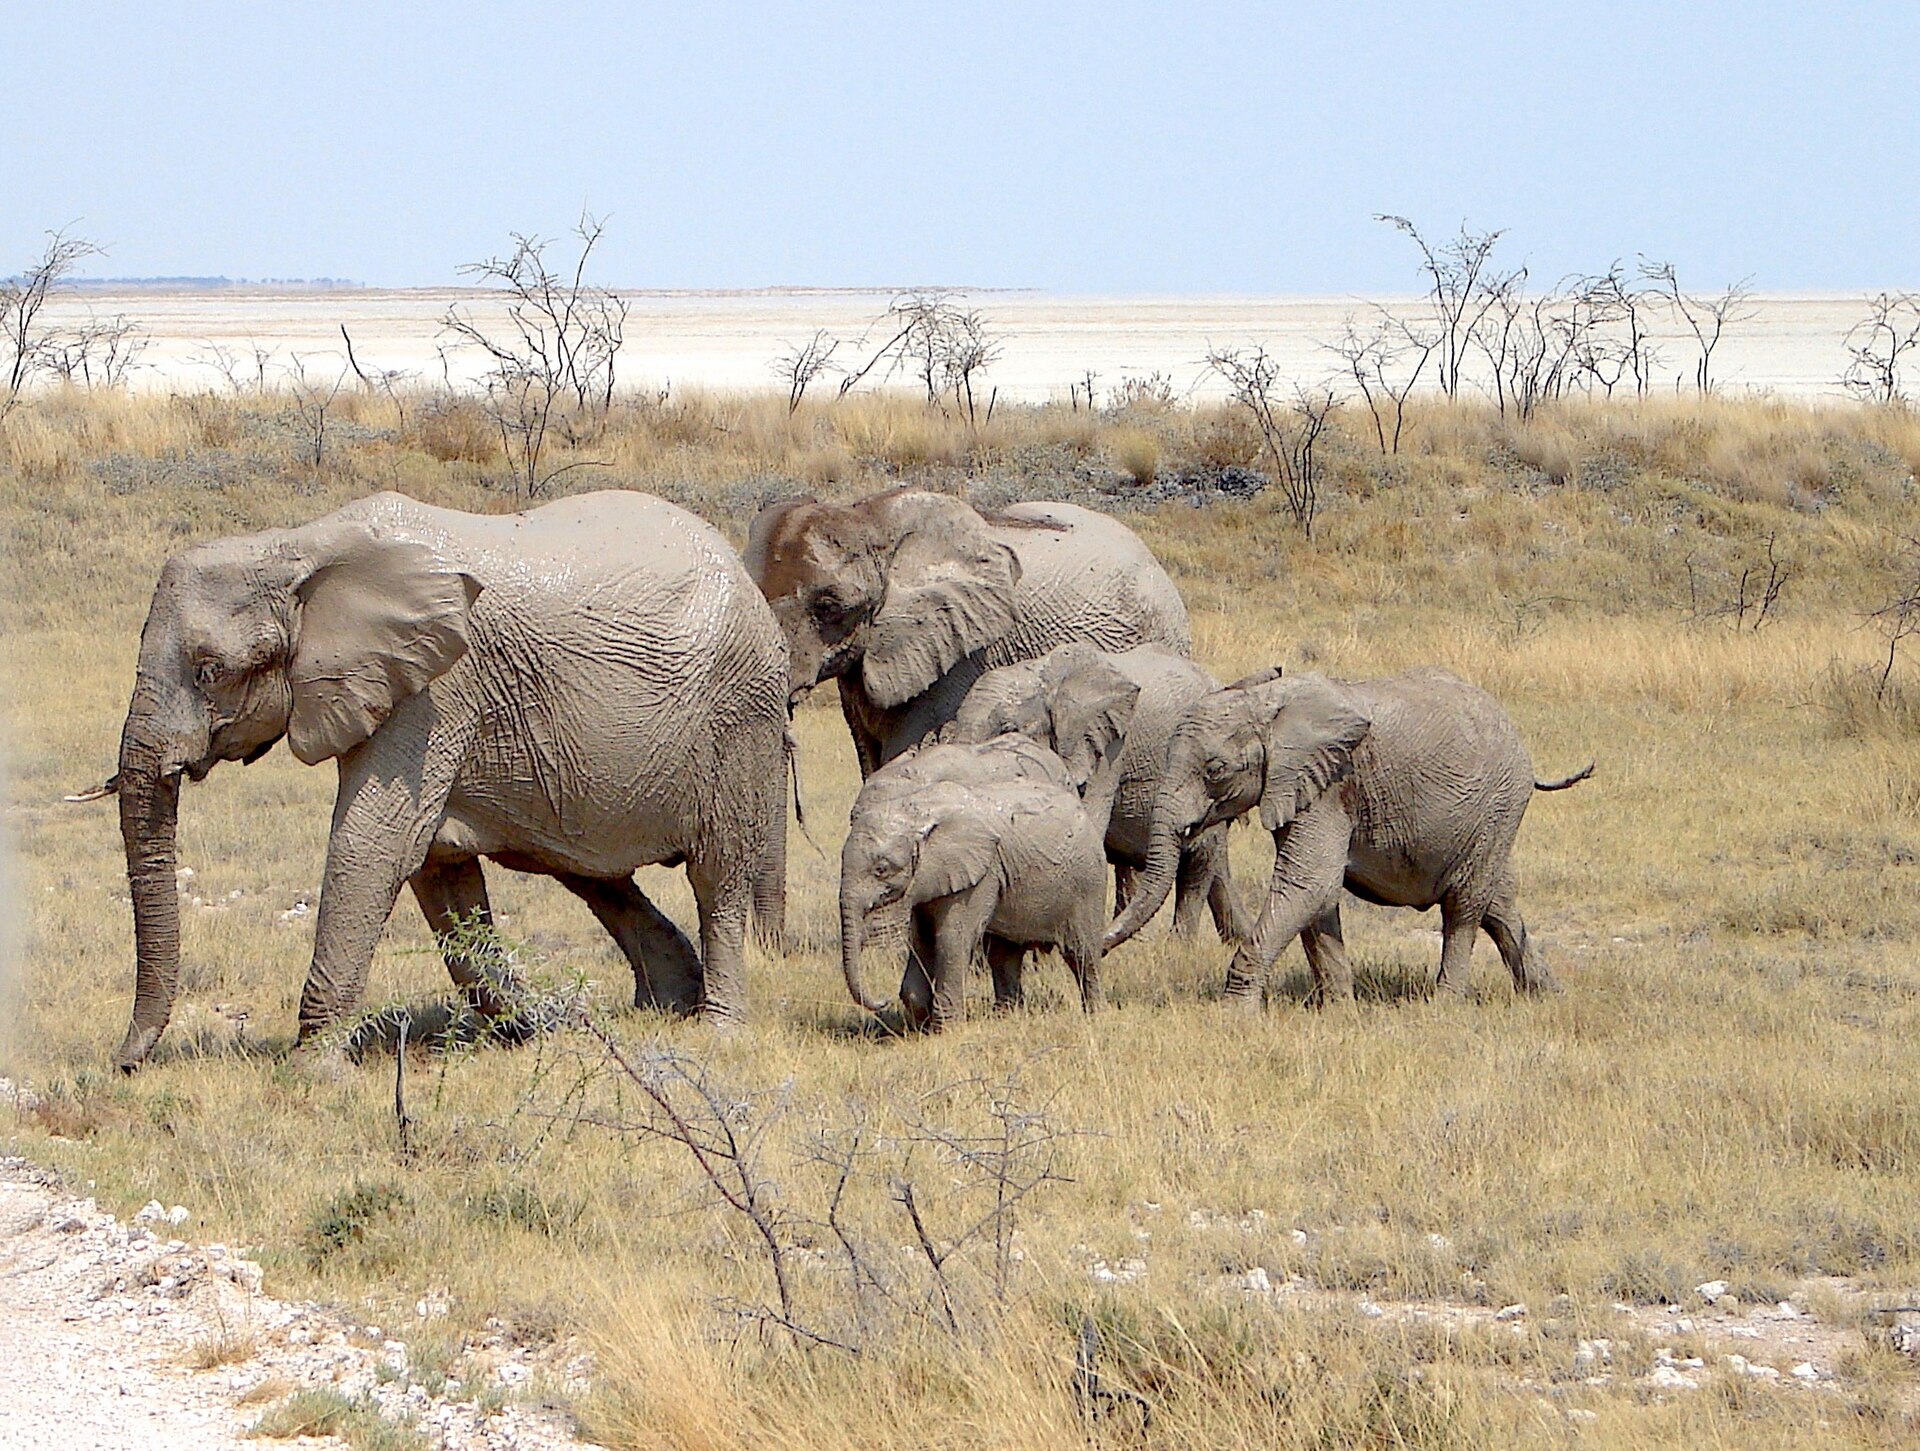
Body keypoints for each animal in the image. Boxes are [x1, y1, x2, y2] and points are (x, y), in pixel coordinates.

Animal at [81, 489, 789, 1068]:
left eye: (210, 670)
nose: (124, 1063)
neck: (300, 546)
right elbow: (439, 868)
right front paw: (534, 1034)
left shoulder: (434, 692)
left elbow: (376, 846)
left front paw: (315, 1071)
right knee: (597, 877)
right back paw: (661, 1006)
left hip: (742, 718)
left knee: (716, 876)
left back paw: (717, 1029)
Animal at [839, 739, 1113, 1030]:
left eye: (881, 869)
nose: (882, 1001)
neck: (915, 808)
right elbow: (923, 938)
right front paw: (922, 1019)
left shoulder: (980, 875)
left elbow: (951, 937)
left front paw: (947, 1030)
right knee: (1004, 956)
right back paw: (1006, 1016)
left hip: (1088, 880)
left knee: (1082, 953)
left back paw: (1095, 1015)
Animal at [1104, 665, 1591, 1005]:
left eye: (1216, 770)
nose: (1102, 949)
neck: (1269, 705)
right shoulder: (1300, 788)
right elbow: (1317, 897)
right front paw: (1339, 1010)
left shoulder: (1330, 783)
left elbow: (1308, 884)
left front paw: (1234, 1013)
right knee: (1498, 903)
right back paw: (1547, 996)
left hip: (1500, 801)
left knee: (1465, 906)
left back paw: (1445, 1005)